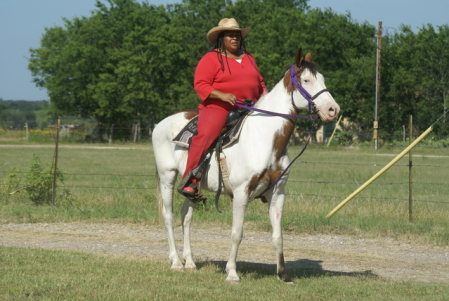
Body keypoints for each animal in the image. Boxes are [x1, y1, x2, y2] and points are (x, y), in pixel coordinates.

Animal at [152, 48, 338, 282]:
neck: (264, 138)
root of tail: (159, 124)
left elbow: (278, 235)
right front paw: (232, 273)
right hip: (167, 176)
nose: (333, 110)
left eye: (322, 78)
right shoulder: (241, 192)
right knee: (169, 217)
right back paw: (176, 262)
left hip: (193, 187)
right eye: (306, 80)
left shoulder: (277, 193)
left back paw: (190, 262)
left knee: (186, 217)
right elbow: (237, 233)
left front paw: (283, 275)